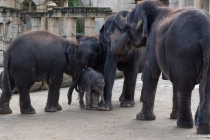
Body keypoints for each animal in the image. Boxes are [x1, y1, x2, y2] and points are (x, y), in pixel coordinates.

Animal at [114, 0, 210, 134]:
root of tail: (205, 30)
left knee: (185, 86)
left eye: (128, 22)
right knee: (204, 88)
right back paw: (203, 130)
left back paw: (183, 125)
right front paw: (172, 117)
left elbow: (152, 72)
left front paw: (142, 118)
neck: (157, 8)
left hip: (183, 52)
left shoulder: (152, 40)